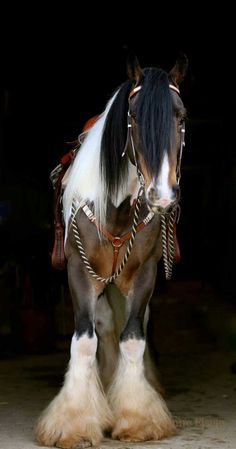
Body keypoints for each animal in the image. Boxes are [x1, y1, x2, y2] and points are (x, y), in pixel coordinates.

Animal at [34, 50, 188, 446]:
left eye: (180, 117)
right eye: (133, 118)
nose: (161, 196)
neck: (117, 211)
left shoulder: (146, 273)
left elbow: (133, 338)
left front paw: (138, 419)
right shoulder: (80, 272)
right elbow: (85, 341)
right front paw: (73, 424)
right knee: (102, 327)